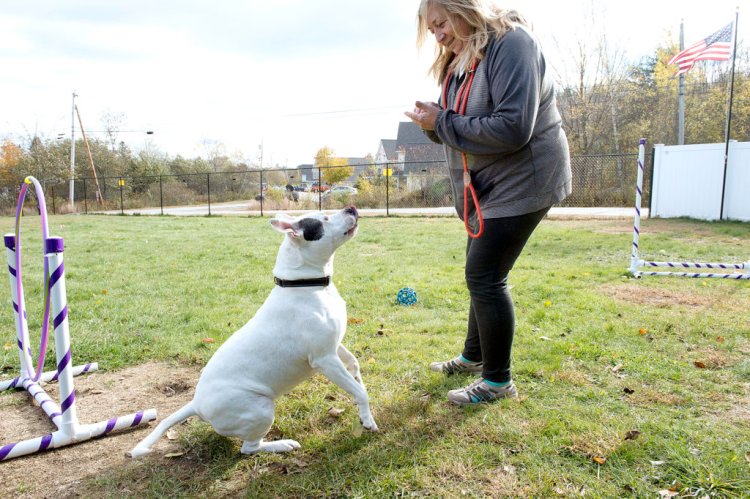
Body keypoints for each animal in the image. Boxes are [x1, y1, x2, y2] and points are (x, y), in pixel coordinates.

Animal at [129, 205, 378, 458]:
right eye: (324, 219)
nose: (351, 208)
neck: (305, 285)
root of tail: (196, 404)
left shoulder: (334, 345)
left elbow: (354, 366)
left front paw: (358, 388)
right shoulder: (325, 359)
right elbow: (360, 392)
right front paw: (367, 419)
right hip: (261, 409)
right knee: (249, 448)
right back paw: (282, 444)